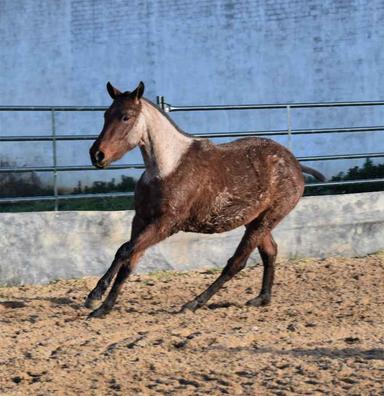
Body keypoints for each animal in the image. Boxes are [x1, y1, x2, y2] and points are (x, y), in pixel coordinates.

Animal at [85, 81, 324, 318]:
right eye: (106, 114)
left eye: (126, 117)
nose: (97, 155)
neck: (167, 167)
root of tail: (295, 164)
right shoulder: (141, 219)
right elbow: (128, 260)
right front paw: (102, 307)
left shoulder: (166, 224)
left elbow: (125, 250)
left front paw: (94, 295)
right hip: (255, 220)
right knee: (270, 252)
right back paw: (262, 298)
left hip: (267, 219)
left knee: (237, 262)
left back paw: (194, 303)